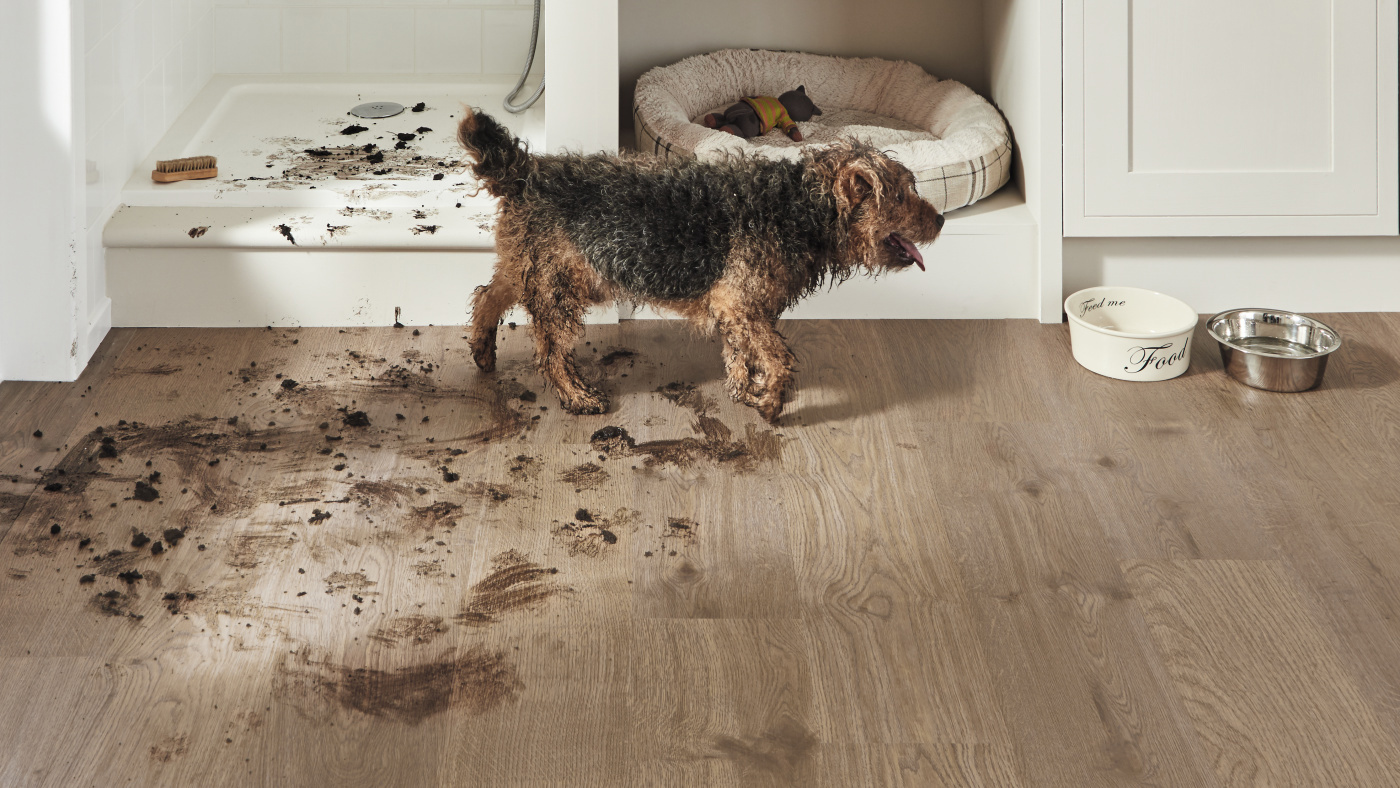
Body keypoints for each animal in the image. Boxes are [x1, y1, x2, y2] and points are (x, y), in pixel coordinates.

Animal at [456, 109, 940, 425]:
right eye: (901, 194)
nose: (940, 220)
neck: (799, 207)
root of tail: (526, 172)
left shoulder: (738, 309)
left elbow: (741, 355)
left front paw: (746, 391)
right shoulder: (740, 301)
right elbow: (779, 358)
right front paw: (771, 404)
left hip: (523, 266)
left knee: (486, 298)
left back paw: (482, 352)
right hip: (557, 287)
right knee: (551, 351)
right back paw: (578, 397)